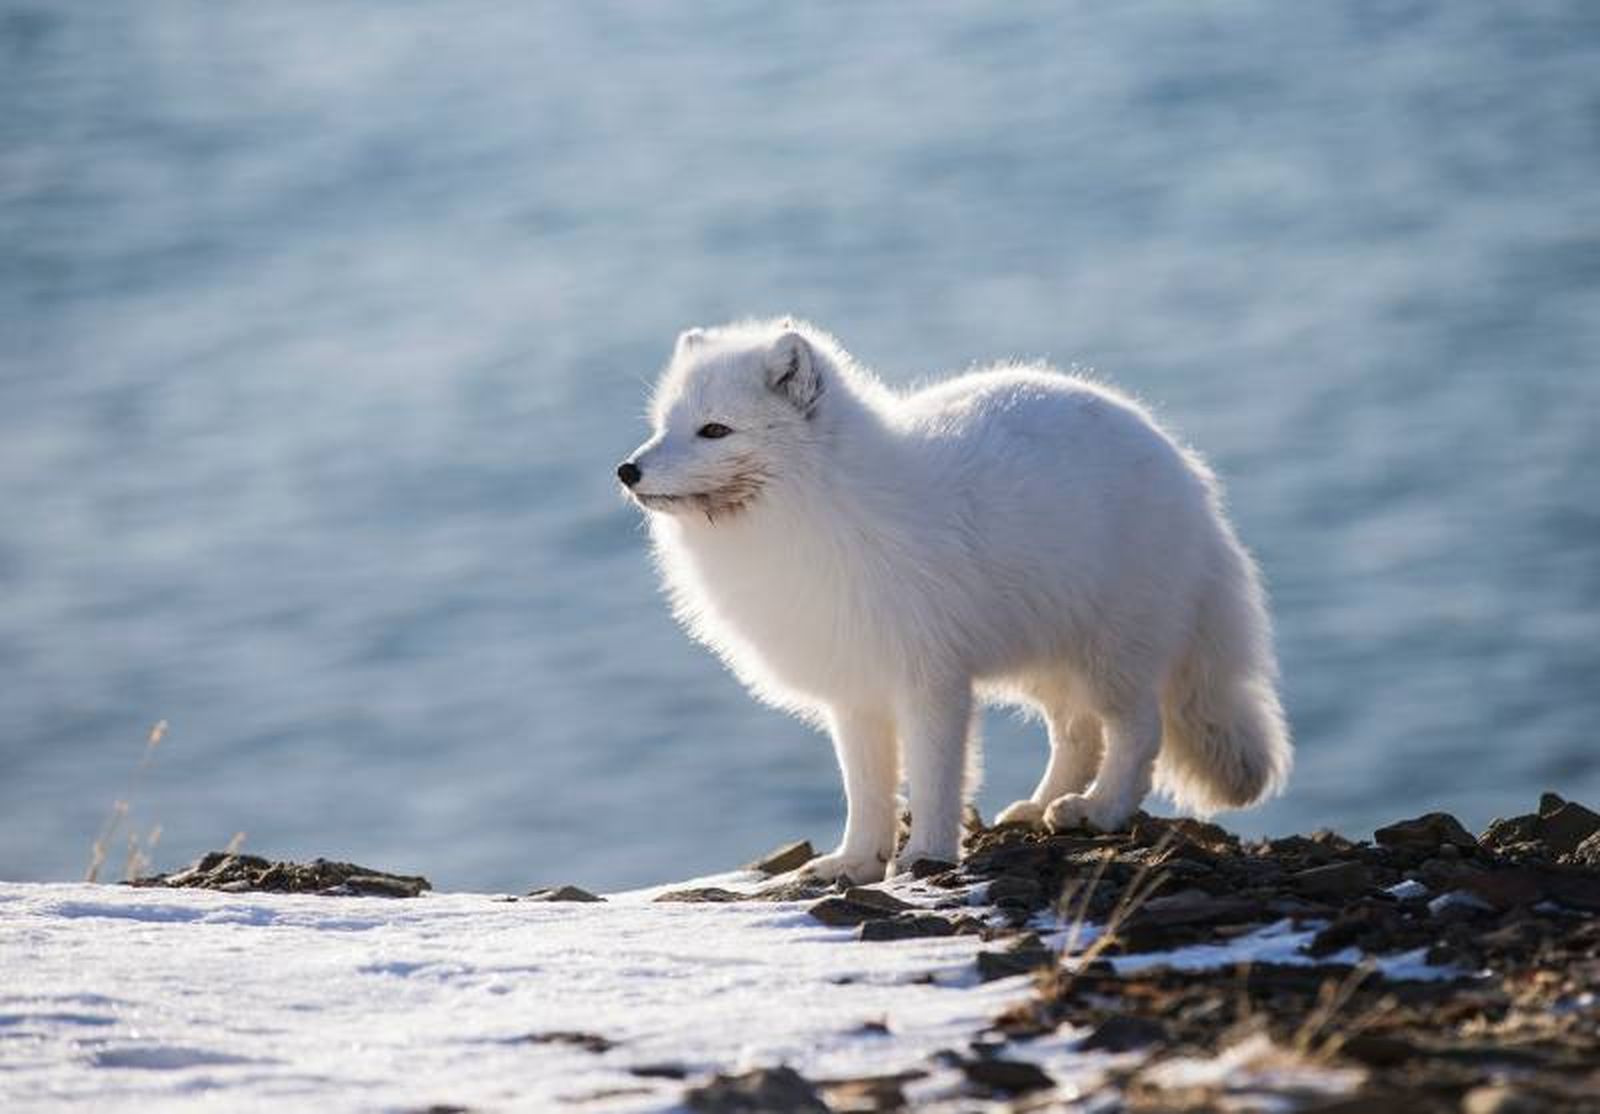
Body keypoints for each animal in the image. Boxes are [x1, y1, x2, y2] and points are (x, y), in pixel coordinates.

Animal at [618, 319, 1290, 884]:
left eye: (714, 429)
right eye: (663, 424)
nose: (627, 470)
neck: (819, 510)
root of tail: (1188, 472)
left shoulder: (931, 680)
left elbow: (934, 780)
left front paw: (926, 857)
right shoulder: (854, 689)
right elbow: (866, 790)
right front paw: (855, 862)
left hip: (1113, 649)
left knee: (1136, 731)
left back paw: (1096, 810)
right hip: (1049, 659)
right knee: (1077, 732)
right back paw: (1039, 806)